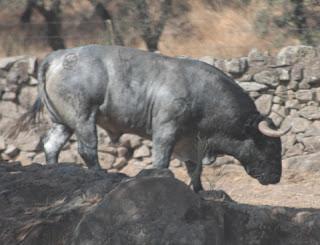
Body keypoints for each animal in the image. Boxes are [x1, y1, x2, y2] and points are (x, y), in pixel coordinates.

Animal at [11, 45, 288, 192]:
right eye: (271, 146)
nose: (276, 177)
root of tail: (57, 56)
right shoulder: (166, 131)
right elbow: (162, 161)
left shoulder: (192, 142)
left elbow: (195, 167)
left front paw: (199, 190)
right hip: (83, 118)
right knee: (87, 149)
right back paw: (100, 173)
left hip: (63, 123)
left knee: (51, 145)